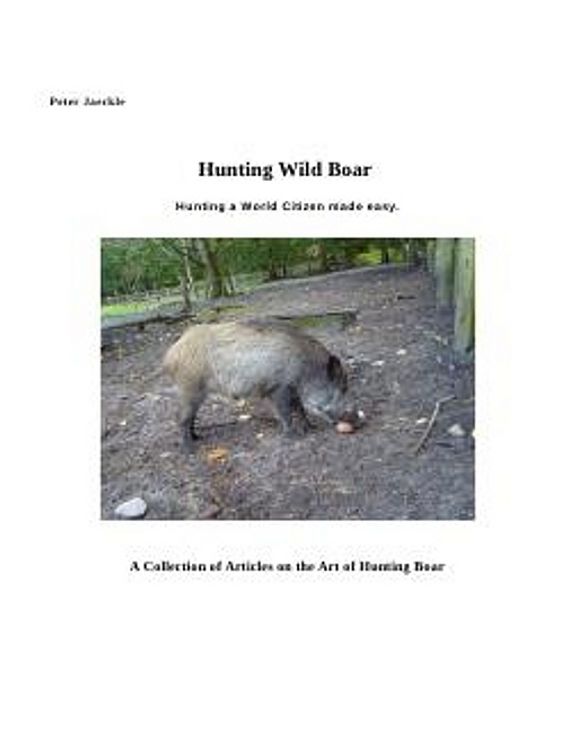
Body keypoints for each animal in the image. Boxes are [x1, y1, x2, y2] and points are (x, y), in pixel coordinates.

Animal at [163, 319, 349, 450]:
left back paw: (197, 438)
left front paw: (311, 428)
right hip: (189, 387)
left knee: (191, 416)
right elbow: (286, 413)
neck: (305, 368)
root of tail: (170, 355)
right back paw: (190, 448)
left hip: (196, 391)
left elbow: (300, 408)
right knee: (181, 417)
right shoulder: (278, 388)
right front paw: (293, 436)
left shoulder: (292, 390)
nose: (353, 419)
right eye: (342, 387)